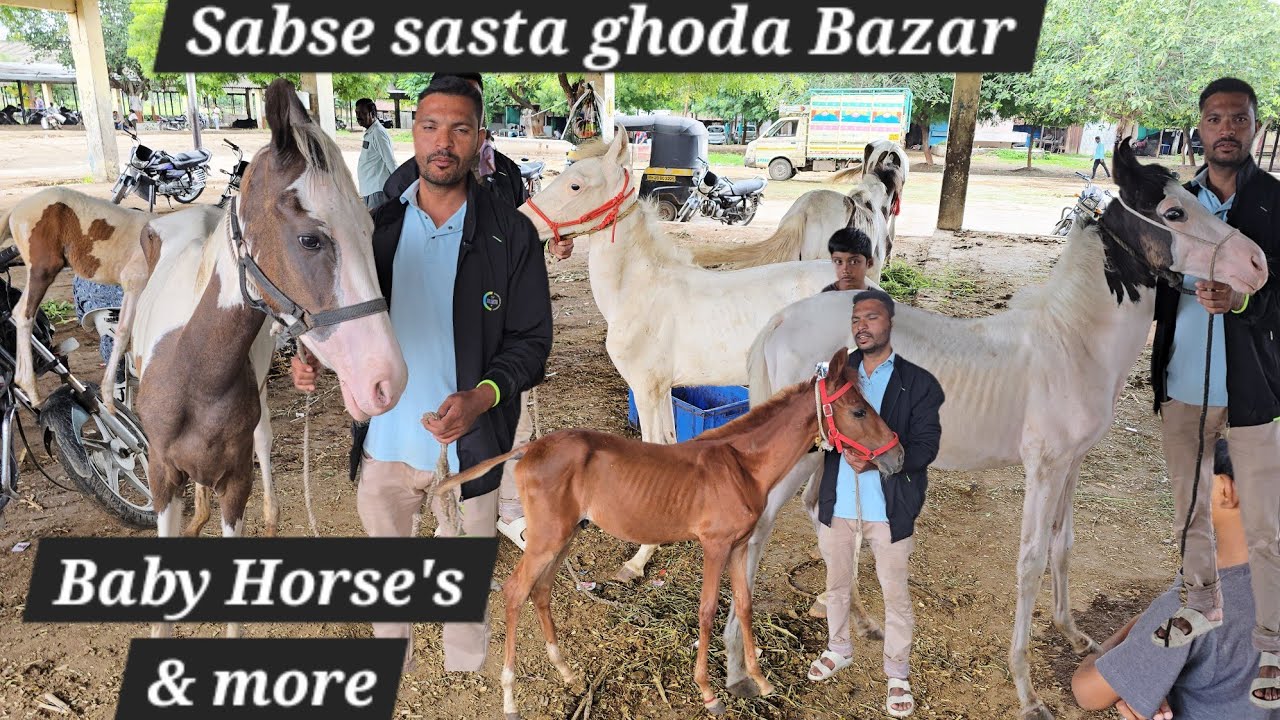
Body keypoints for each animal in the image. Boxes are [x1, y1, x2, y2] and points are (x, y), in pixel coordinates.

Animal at [0, 188, 221, 408]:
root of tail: (15, 211)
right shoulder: (134, 282)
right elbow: (124, 333)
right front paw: (109, 399)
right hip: (43, 268)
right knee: (23, 313)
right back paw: (31, 389)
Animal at [132, 79, 408, 639]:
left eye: (370, 231)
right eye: (310, 239)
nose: (386, 381)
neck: (192, 371)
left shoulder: (236, 478)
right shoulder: (160, 475)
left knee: (263, 438)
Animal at [429, 346, 905, 720]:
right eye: (859, 410)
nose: (897, 456)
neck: (740, 465)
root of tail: (530, 447)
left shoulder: (738, 546)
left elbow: (744, 605)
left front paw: (759, 680)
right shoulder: (715, 546)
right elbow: (708, 609)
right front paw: (709, 691)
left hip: (564, 536)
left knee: (540, 592)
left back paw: (566, 672)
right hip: (547, 538)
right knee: (515, 591)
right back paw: (510, 698)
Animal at [723, 140, 1269, 719]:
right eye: (1173, 212)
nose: (1257, 264)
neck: (1072, 339)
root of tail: (778, 323)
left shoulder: (1072, 463)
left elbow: (1063, 544)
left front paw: (1074, 634)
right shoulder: (1044, 468)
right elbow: (1029, 560)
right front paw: (1027, 691)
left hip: (831, 453)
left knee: (823, 516)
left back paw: (863, 621)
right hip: (801, 453)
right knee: (757, 529)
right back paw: (739, 668)